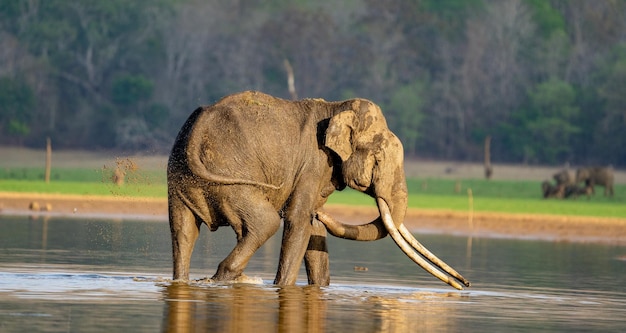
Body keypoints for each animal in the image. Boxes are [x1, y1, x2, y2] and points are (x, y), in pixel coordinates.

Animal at [167, 90, 468, 288]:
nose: (464, 284)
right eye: (379, 159)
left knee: (183, 230)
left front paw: (319, 286)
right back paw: (225, 279)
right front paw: (282, 288)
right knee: (265, 223)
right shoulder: (314, 162)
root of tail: (196, 132)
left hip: (182, 180)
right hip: (229, 176)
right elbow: (298, 219)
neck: (337, 108)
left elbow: (312, 228)